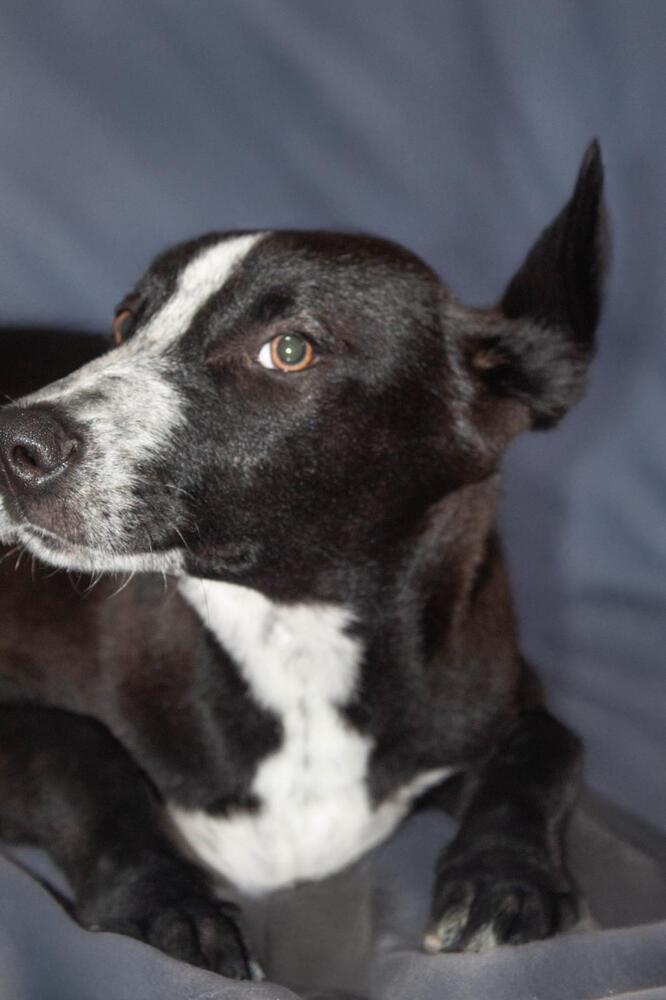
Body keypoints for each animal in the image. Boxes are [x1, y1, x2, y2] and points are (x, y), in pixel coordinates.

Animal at [0, 145, 604, 980]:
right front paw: (164, 904)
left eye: (290, 350)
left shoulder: (489, 690)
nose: (13, 443)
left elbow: (550, 745)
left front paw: (502, 880)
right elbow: (78, 751)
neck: (294, 638)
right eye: (125, 323)